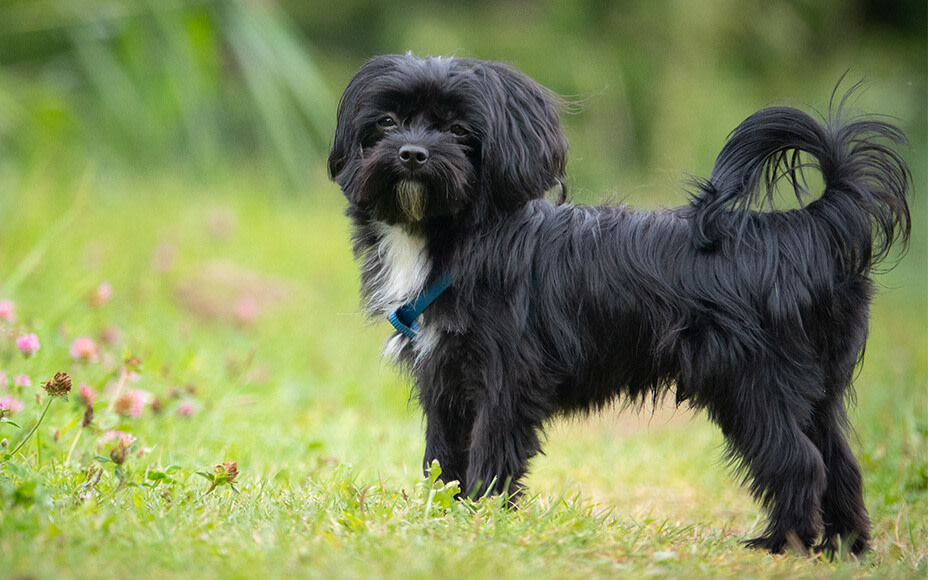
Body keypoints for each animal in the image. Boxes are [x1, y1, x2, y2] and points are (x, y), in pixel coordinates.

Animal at [330, 55, 908, 556]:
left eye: (457, 130)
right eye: (387, 121)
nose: (412, 153)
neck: (457, 238)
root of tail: (807, 227)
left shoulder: (507, 378)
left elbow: (490, 452)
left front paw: (482, 518)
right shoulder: (445, 378)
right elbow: (442, 455)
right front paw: (442, 517)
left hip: (754, 382)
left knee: (800, 463)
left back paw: (781, 544)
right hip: (814, 390)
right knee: (840, 464)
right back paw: (845, 547)